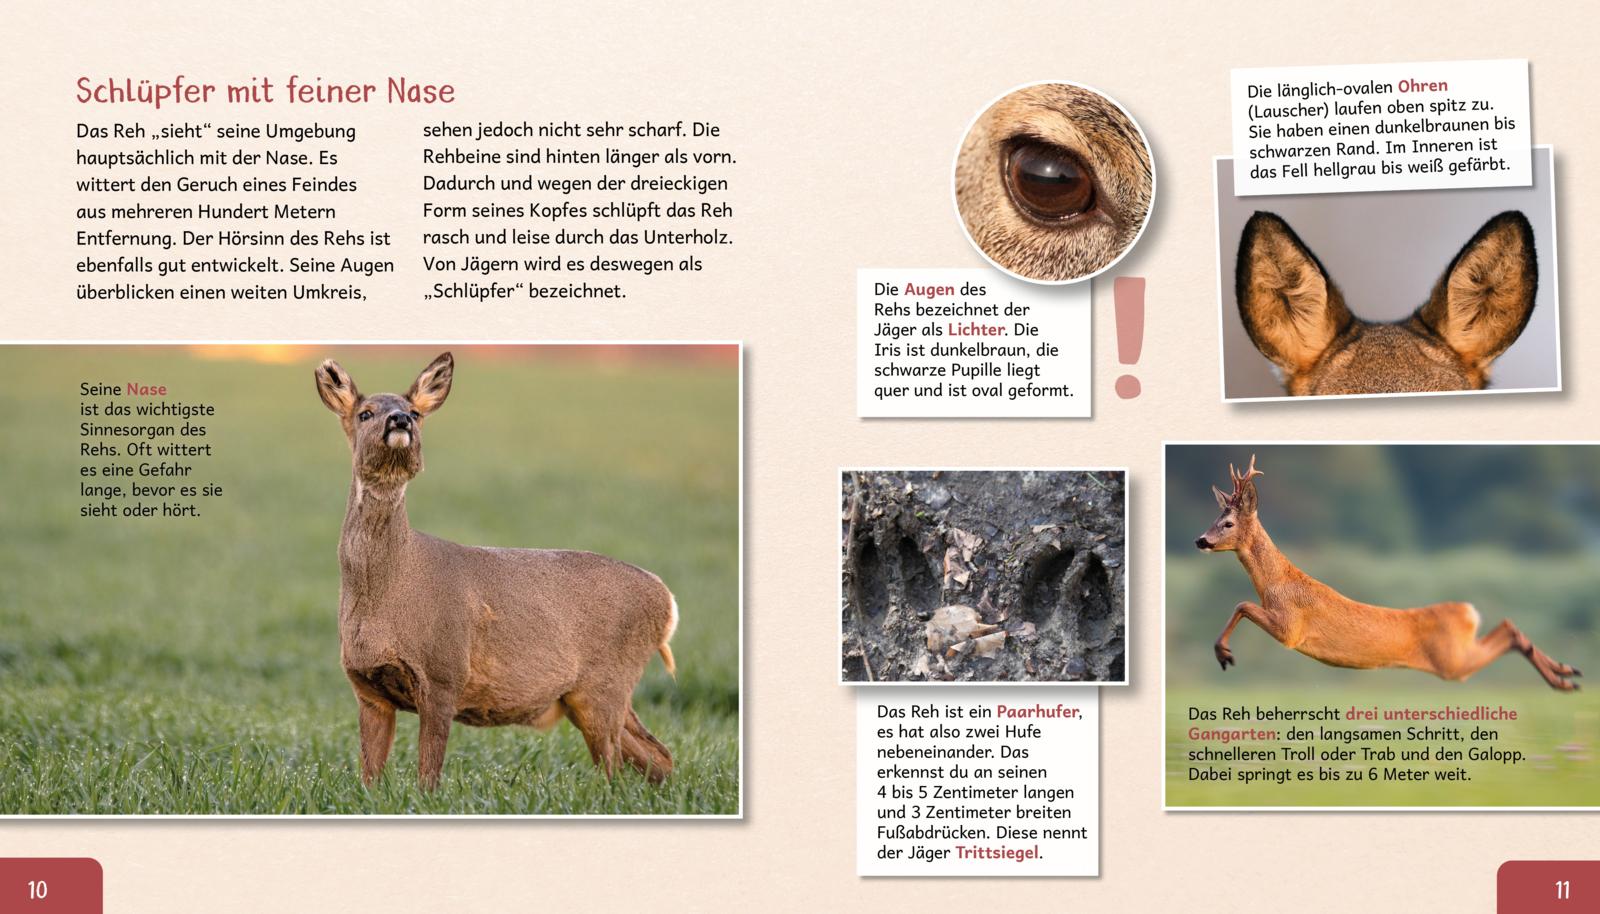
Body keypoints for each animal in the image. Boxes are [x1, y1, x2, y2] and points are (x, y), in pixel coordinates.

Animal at [315, 352, 678, 790]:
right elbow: (369, 776)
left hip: (607, 683)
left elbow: (428, 773)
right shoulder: (367, 688)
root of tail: (666, 599)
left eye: (416, 413)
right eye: (365, 412)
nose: (399, 420)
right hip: (588, 695)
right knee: (658, 756)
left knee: (615, 766)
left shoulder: (444, 672)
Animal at [1194, 455, 1579, 692]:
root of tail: (1469, 612)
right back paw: (1567, 674)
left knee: (1508, 632)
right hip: (1457, 655)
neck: (1277, 582)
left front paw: (1224, 654)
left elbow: (1242, 604)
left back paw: (1564, 678)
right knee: (1509, 627)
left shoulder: (1290, 628)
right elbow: (1242, 604)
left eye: (1227, 523)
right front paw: (1222, 652)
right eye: (1214, 518)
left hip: (1452, 662)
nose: (1201, 540)